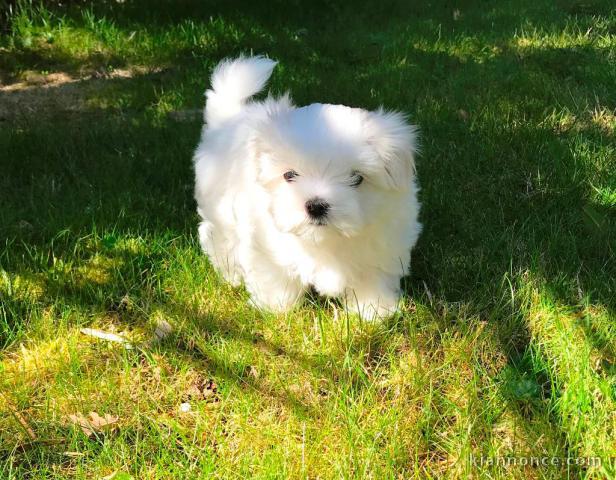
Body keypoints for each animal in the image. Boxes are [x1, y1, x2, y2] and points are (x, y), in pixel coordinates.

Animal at [195, 56, 422, 318]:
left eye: (357, 179)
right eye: (289, 175)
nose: (316, 205)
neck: (323, 241)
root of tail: (229, 117)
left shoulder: (384, 245)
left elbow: (372, 278)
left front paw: (374, 312)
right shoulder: (265, 245)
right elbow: (275, 276)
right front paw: (275, 309)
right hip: (218, 205)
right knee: (216, 235)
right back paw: (230, 274)